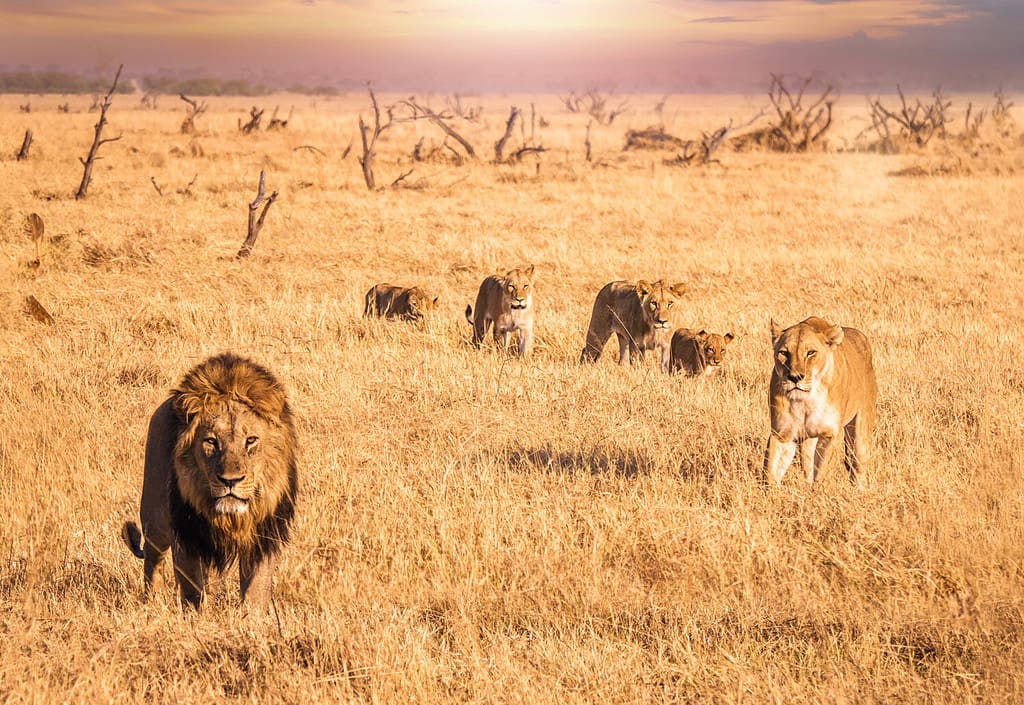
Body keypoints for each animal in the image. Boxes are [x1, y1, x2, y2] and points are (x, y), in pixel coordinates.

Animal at [120, 354, 296, 606]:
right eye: (211, 441)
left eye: (251, 440)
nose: (230, 481)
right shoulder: (185, 534)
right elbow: (193, 590)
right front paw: (197, 613)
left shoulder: (262, 536)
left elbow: (255, 592)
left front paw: (252, 616)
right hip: (155, 517)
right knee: (153, 559)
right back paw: (152, 602)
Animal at [765, 317, 876, 487]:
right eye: (783, 353)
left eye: (811, 352)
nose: (795, 377)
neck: (805, 401)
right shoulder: (782, 434)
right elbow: (771, 471)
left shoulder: (829, 434)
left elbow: (821, 471)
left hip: (860, 433)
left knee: (858, 466)